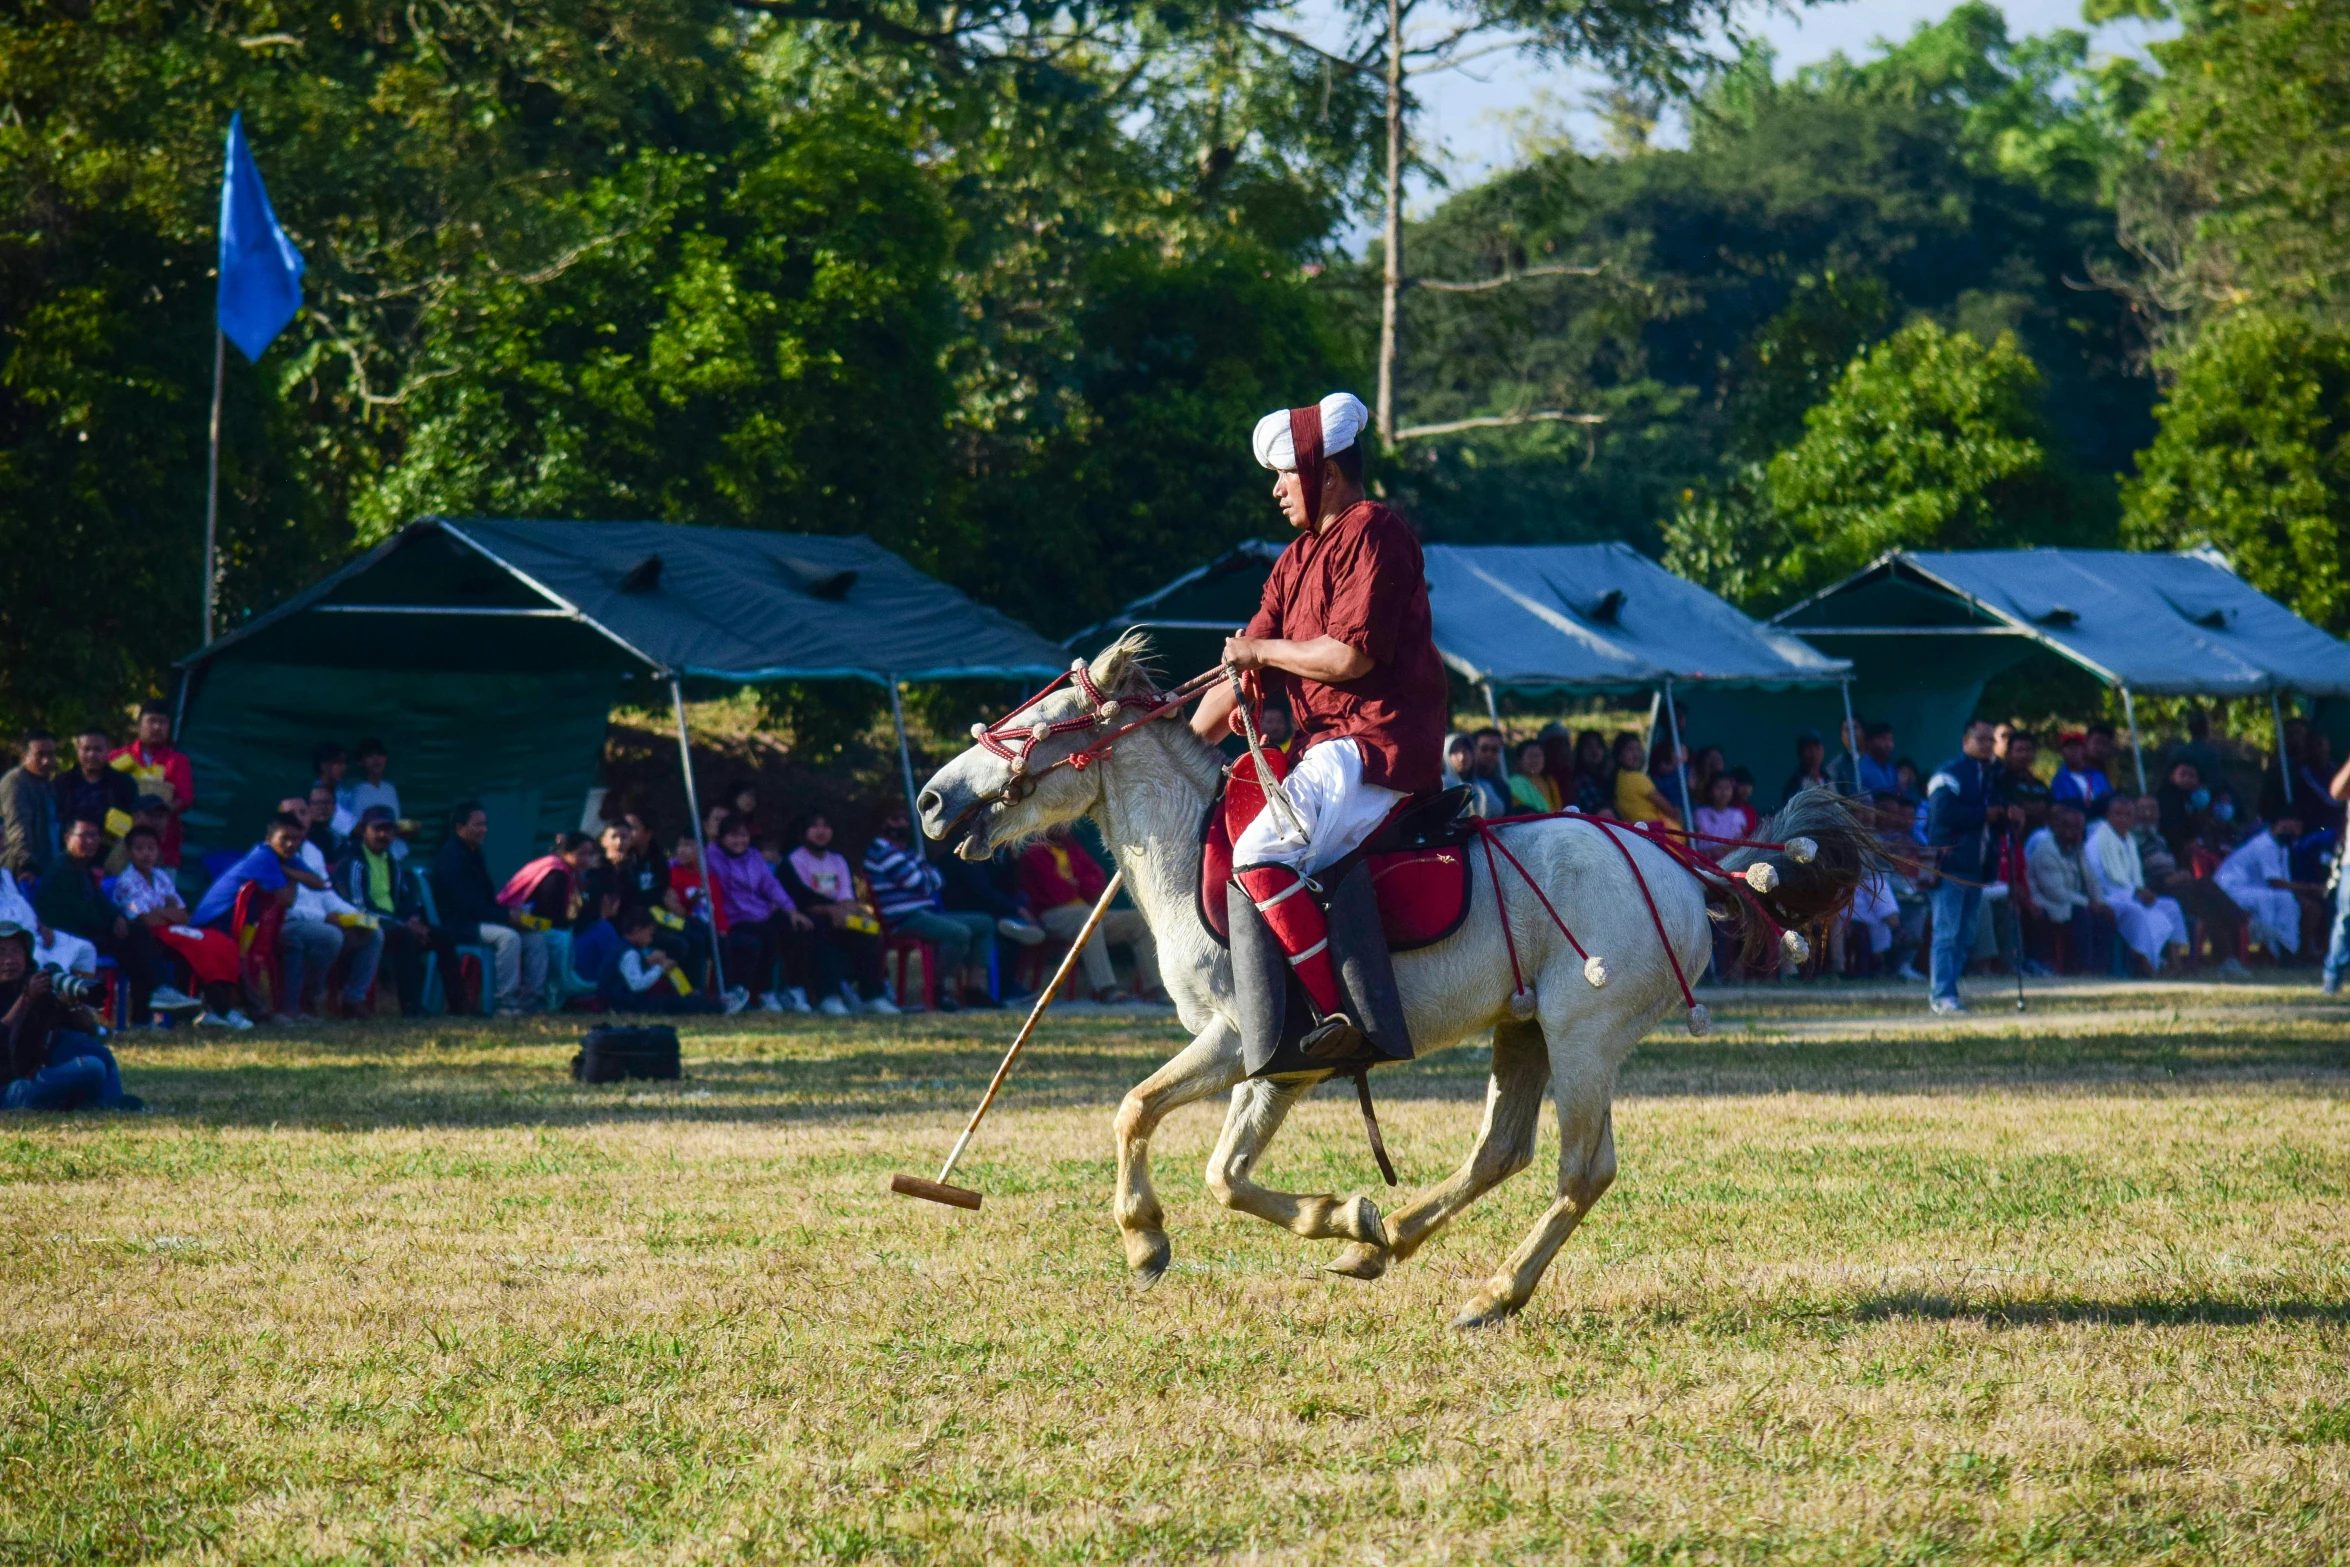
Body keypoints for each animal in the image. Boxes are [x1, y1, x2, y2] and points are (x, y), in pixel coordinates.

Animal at [916, 639, 1870, 1325]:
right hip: (1523, 1024)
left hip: (1585, 1031)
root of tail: (1685, 868)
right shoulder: (1274, 1064)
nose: (928, 800)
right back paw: (1394, 1241)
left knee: (1581, 1168)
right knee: (1500, 1149)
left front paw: (1150, 1237)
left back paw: (1492, 1292)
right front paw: (1343, 1220)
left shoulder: (1248, 1042)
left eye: (1042, 716)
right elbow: (1209, 1161)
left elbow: (1155, 1122)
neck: (1192, 853)